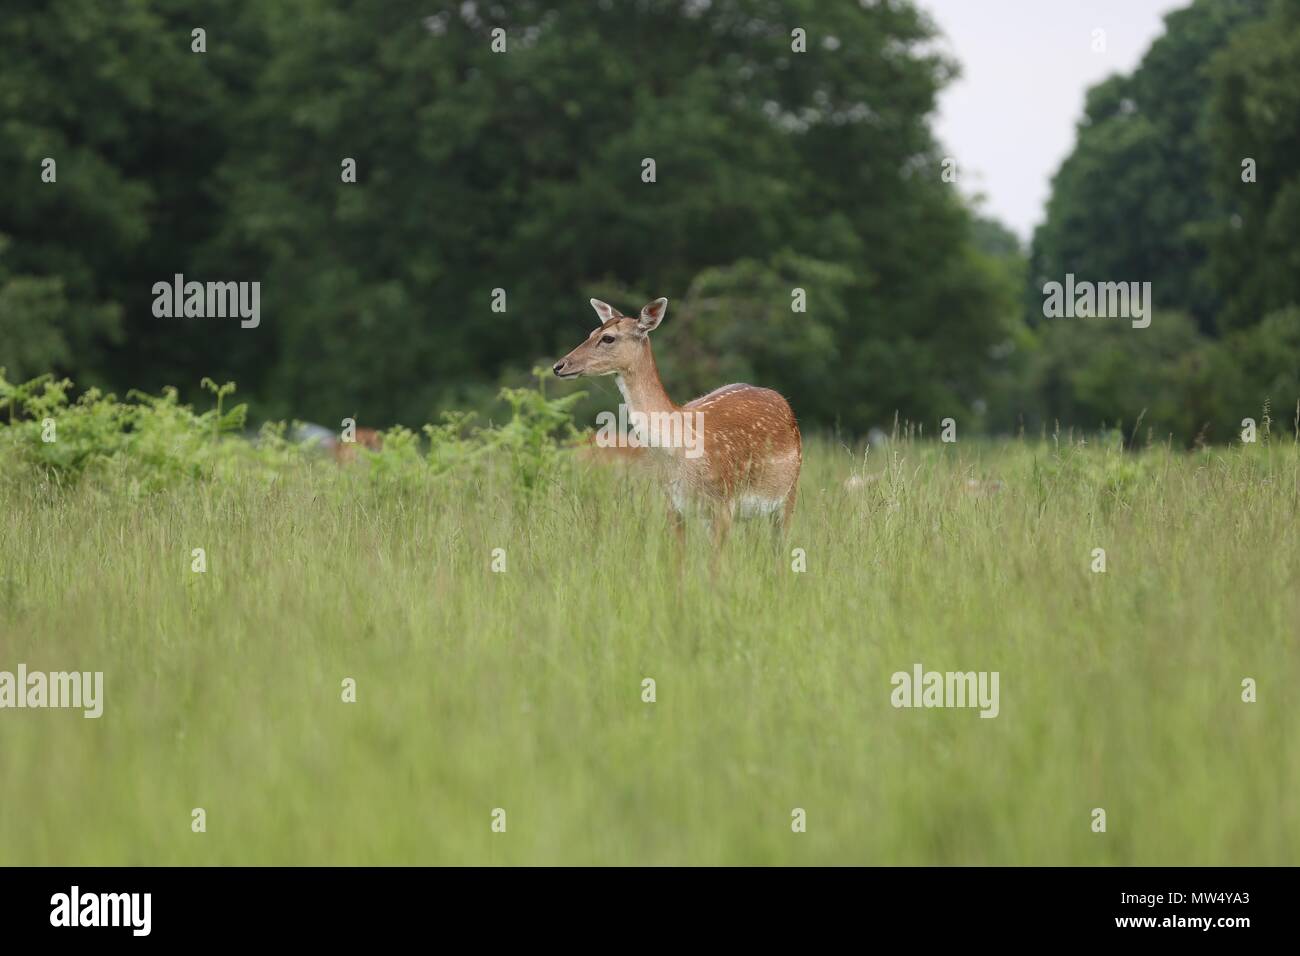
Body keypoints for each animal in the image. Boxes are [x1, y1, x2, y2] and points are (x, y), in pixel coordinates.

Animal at [551, 299, 800, 554]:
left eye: (608, 338)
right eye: (591, 333)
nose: (559, 366)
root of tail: (783, 401)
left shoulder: (724, 503)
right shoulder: (672, 504)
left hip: (789, 492)